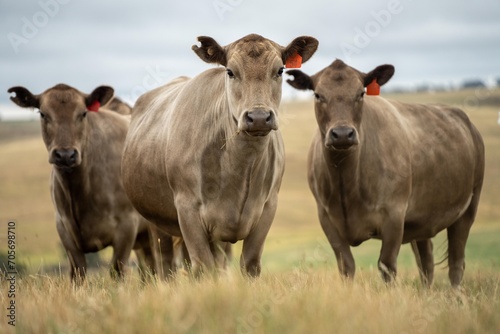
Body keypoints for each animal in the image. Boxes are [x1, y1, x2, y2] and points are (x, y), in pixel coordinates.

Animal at [7, 84, 176, 284]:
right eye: (43, 113)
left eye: (83, 113)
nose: (65, 155)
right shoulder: (64, 229)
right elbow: (78, 274)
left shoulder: (127, 226)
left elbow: (117, 271)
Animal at [120, 35, 316, 278]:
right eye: (230, 72)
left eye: (280, 70)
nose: (259, 117)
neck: (240, 167)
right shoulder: (187, 209)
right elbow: (203, 266)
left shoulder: (268, 207)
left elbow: (250, 265)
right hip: (157, 221)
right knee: (165, 264)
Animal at [288, 60, 486, 288]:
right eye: (318, 95)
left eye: (361, 93)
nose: (343, 134)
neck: (346, 183)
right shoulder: (327, 218)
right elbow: (346, 266)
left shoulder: (394, 215)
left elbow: (387, 266)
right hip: (422, 219)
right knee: (426, 261)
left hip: (469, 207)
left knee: (456, 261)